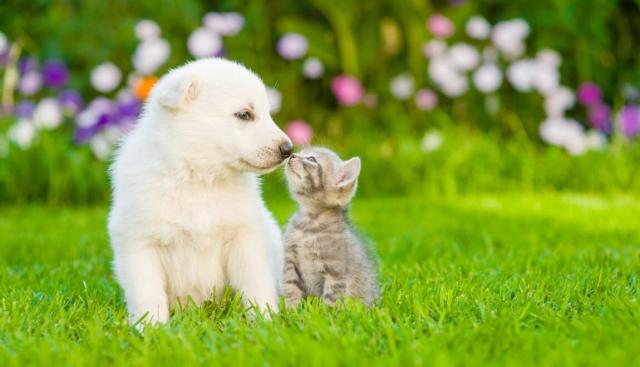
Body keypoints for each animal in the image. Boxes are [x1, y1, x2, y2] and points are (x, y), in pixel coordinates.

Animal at [107, 59, 292, 326]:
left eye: (268, 113)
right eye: (244, 114)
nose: (289, 149)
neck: (198, 178)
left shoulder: (245, 238)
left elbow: (256, 284)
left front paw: (265, 321)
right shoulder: (139, 243)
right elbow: (147, 294)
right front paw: (151, 328)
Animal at [282, 147, 380, 308]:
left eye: (311, 159)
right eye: (301, 152)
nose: (291, 155)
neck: (310, 225)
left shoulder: (335, 271)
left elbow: (331, 298)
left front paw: (326, 314)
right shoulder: (290, 262)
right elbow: (291, 289)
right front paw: (291, 312)